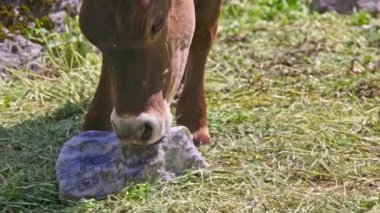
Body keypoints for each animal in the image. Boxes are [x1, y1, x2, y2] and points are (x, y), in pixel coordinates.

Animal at [80, 0, 223, 146]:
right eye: (90, 35)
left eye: (157, 23)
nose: (130, 129)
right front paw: (98, 123)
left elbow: (203, 32)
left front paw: (195, 122)